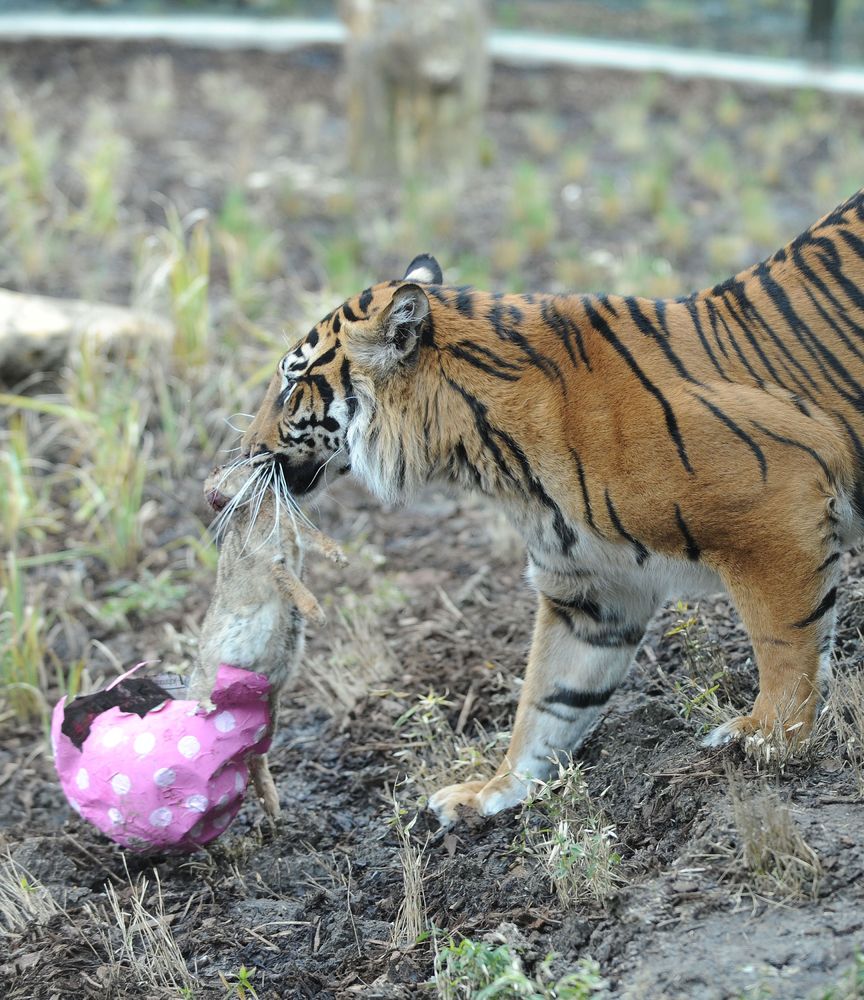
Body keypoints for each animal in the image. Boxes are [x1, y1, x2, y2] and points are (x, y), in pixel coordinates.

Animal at [240, 188, 864, 825]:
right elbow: (548, 702)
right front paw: (493, 791)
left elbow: (786, 643)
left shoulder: (775, 510)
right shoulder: (590, 590)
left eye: (291, 384)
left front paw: (769, 738)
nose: (246, 450)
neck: (488, 453)